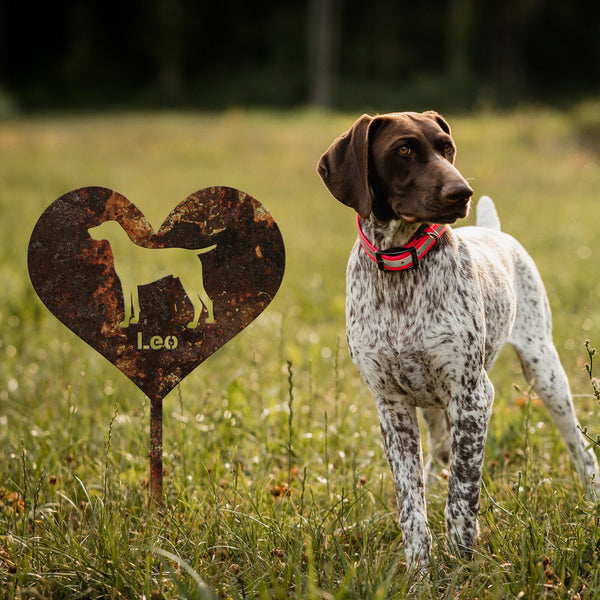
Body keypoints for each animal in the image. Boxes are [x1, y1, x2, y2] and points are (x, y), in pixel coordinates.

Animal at [85, 220, 214, 328]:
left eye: (102, 226)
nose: (88, 231)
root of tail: (192, 252)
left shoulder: (126, 284)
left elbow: (128, 306)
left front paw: (125, 322)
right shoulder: (132, 286)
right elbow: (135, 304)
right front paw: (135, 320)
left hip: (190, 283)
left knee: (201, 303)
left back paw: (197, 324)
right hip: (192, 284)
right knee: (204, 302)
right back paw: (207, 321)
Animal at [316, 110, 596, 564]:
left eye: (447, 148)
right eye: (404, 149)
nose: (462, 191)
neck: (400, 268)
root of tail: (495, 231)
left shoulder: (472, 397)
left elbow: (461, 499)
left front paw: (461, 565)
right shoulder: (391, 406)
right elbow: (411, 505)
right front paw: (419, 570)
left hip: (545, 372)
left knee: (579, 448)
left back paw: (592, 497)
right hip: (430, 404)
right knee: (436, 457)